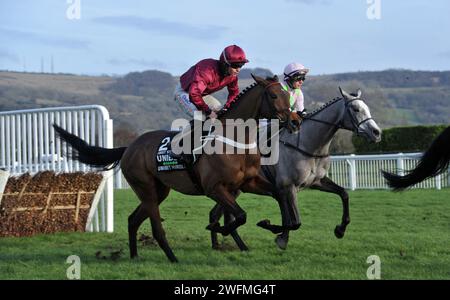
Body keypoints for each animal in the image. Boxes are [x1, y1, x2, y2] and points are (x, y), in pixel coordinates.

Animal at [52, 75, 300, 262]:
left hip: (160, 191)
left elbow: (278, 195)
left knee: (133, 220)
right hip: (146, 189)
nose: (295, 121)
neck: (235, 140)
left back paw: (134, 256)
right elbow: (240, 215)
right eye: (274, 95)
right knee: (156, 228)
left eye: (288, 95)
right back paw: (172, 257)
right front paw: (218, 229)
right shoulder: (214, 188)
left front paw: (275, 228)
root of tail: (129, 147)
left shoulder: (248, 183)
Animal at [209, 87, 382, 251]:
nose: (376, 132)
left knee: (217, 215)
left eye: (367, 108)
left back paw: (222, 242)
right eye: (356, 109)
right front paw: (276, 233)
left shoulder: (316, 182)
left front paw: (340, 229)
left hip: (233, 189)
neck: (308, 146)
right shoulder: (288, 186)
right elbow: (295, 221)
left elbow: (344, 194)